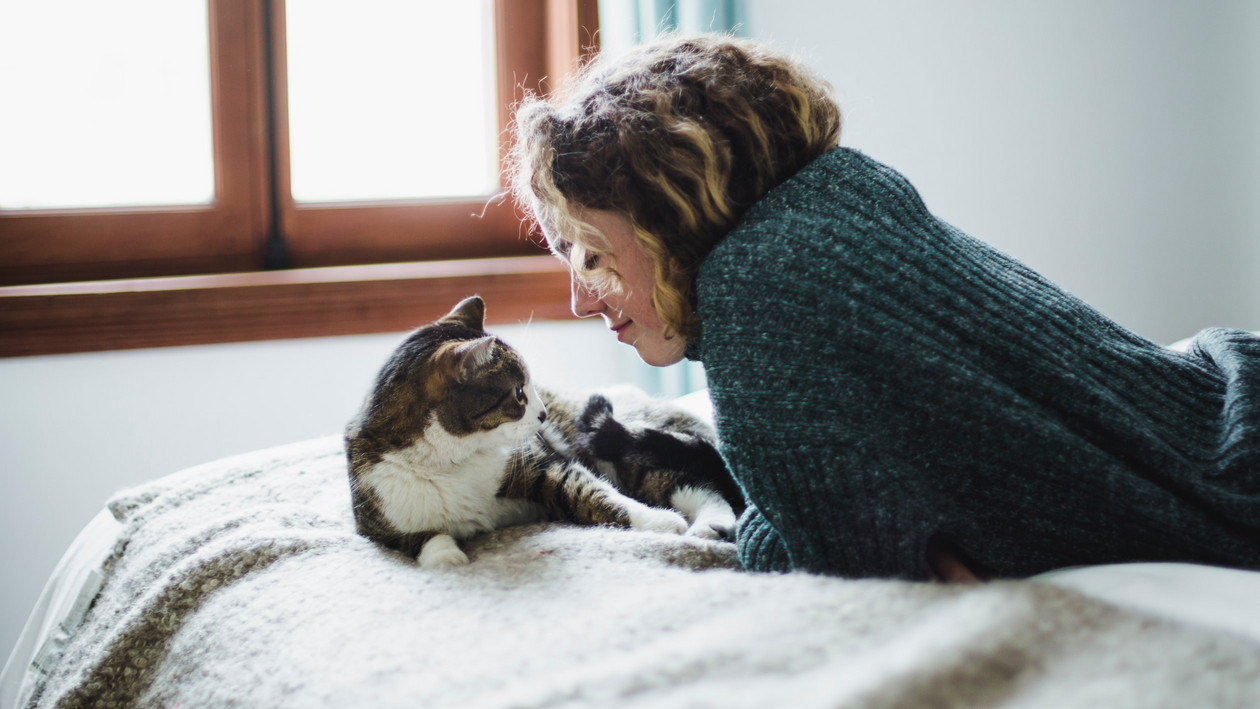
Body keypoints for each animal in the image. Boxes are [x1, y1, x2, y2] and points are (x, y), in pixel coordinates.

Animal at [345, 297, 740, 569]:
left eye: (531, 387)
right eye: (518, 392)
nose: (544, 413)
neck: (452, 461)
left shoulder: (541, 464)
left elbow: (594, 493)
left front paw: (657, 520)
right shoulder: (376, 517)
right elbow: (420, 538)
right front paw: (446, 558)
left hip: (622, 447)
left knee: (694, 486)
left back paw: (710, 525)